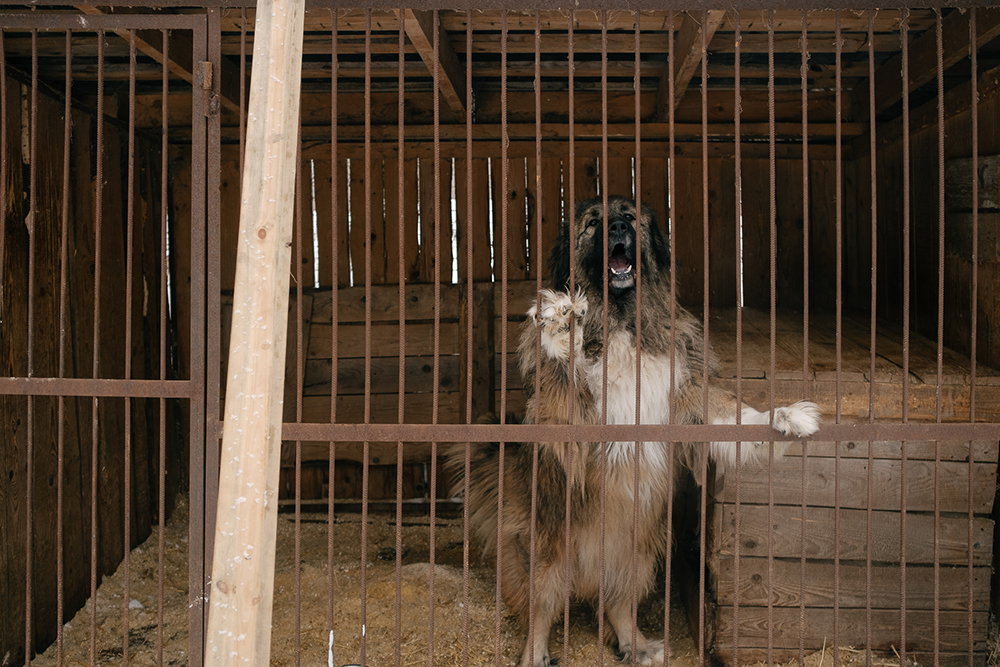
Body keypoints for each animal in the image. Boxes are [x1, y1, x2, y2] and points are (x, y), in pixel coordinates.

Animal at [448, 196, 820, 667]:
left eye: (629, 215)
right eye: (593, 223)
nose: (617, 227)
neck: (622, 320)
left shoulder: (687, 394)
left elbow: (733, 414)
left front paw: (785, 416)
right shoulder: (568, 420)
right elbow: (564, 379)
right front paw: (560, 324)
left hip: (636, 554)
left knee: (617, 603)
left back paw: (636, 646)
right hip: (547, 555)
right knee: (542, 610)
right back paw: (536, 655)